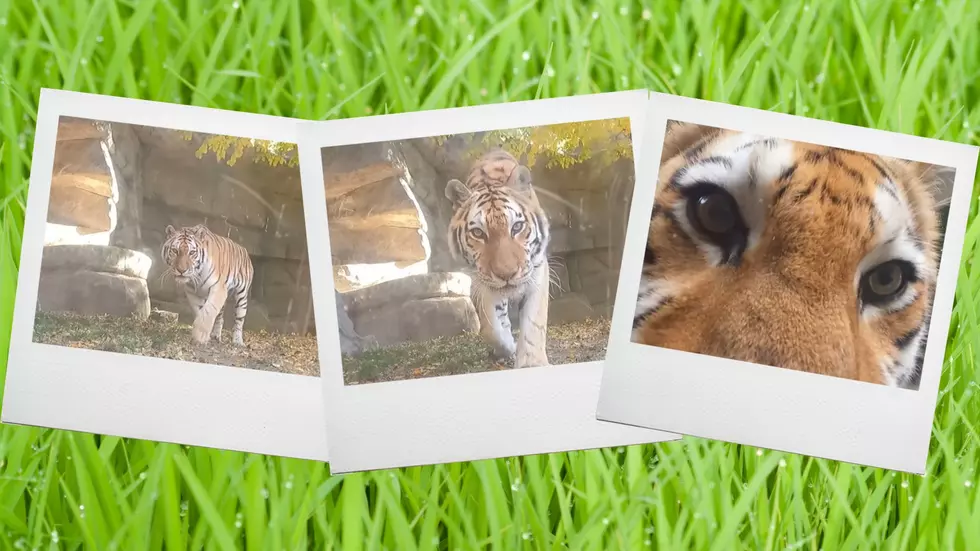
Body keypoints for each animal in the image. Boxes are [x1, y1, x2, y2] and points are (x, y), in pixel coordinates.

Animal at [444, 149, 552, 368]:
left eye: (517, 227)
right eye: (478, 233)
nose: (507, 274)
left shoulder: (537, 272)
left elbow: (534, 323)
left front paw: (532, 363)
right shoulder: (480, 282)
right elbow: (490, 327)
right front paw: (506, 347)